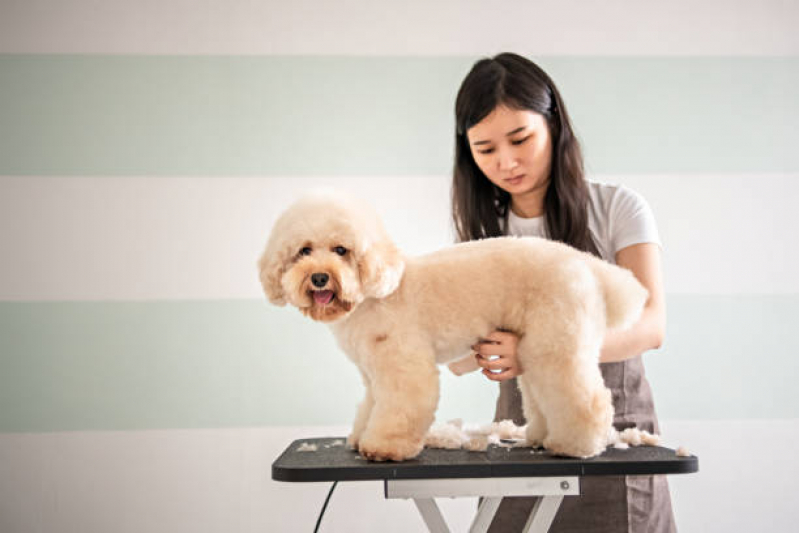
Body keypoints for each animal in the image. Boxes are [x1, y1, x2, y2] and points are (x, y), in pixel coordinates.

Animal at [260, 191, 648, 462]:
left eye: (341, 250)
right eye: (304, 251)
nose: (319, 277)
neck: (375, 294)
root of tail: (586, 265)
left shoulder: (403, 365)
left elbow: (399, 407)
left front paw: (384, 447)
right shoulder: (372, 373)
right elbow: (371, 405)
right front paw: (358, 437)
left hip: (558, 341)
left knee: (586, 398)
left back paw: (576, 445)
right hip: (536, 345)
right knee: (542, 392)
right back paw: (541, 435)